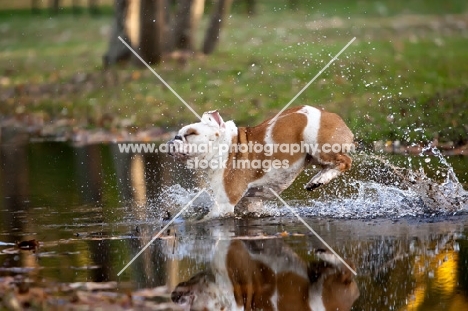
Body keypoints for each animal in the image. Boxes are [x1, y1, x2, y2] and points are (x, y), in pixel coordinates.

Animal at [166, 106, 352, 218]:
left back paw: (321, 178)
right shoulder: (249, 203)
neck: (224, 147)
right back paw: (316, 180)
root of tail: (331, 115)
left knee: (345, 161)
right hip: (312, 156)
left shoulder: (223, 204)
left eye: (191, 134)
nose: (173, 139)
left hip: (317, 146)